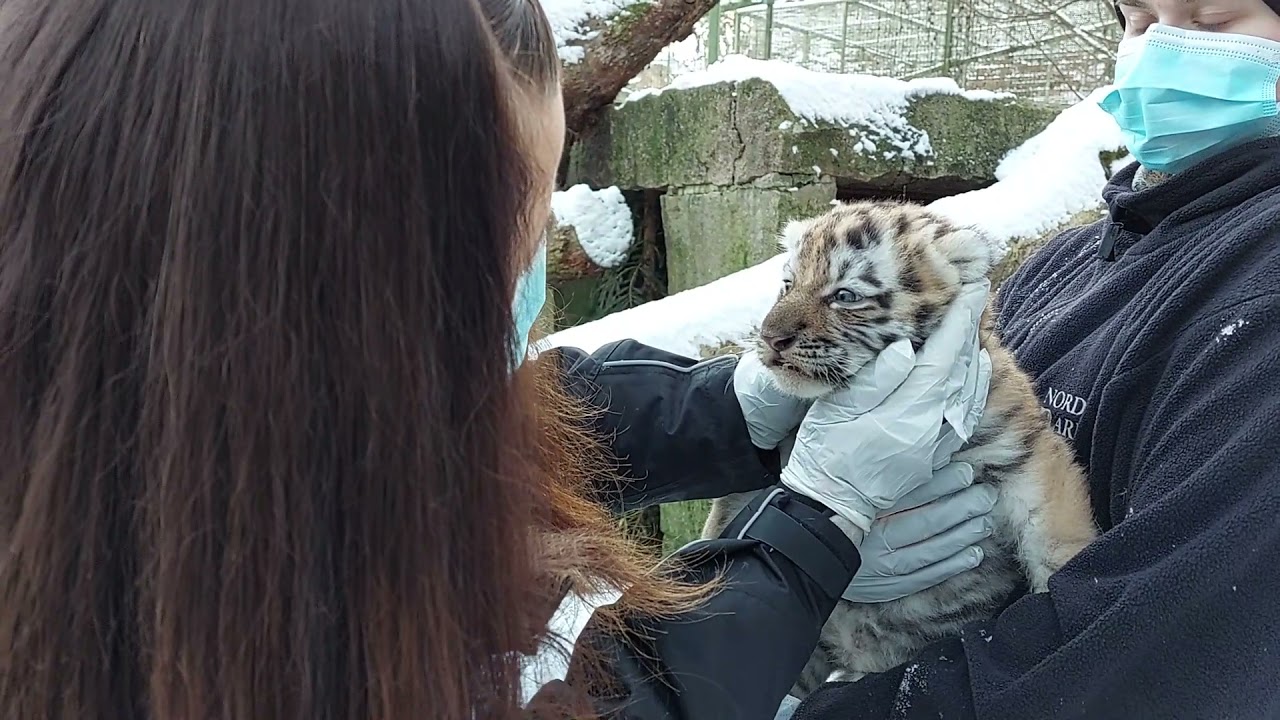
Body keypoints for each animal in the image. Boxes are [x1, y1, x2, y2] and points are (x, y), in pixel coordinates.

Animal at [700, 199, 1099, 696]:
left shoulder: (1023, 455)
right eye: (788, 284)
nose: (771, 339)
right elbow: (725, 520)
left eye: (846, 296)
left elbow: (1055, 538)